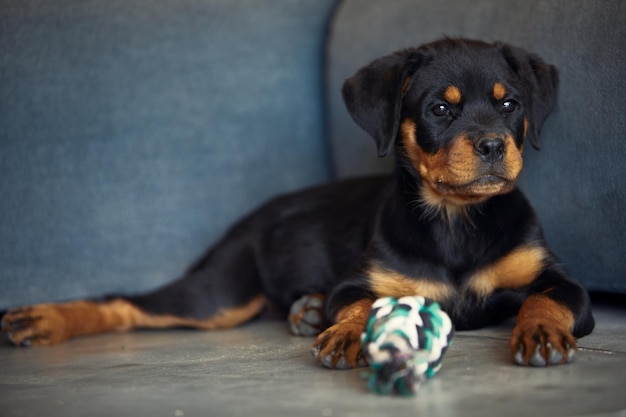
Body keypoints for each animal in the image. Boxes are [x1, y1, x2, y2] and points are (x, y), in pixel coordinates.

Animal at [2, 38, 592, 368]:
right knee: (127, 302)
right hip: (219, 294)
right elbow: (361, 304)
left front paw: (540, 331)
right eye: (439, 110)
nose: (493, 146)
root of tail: (246, 220)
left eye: (510, 105)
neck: (457, 219)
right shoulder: (359, 282)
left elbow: (546, 299)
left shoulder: (563, 282)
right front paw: (345, 333)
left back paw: (304, 309)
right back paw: (43, 320)